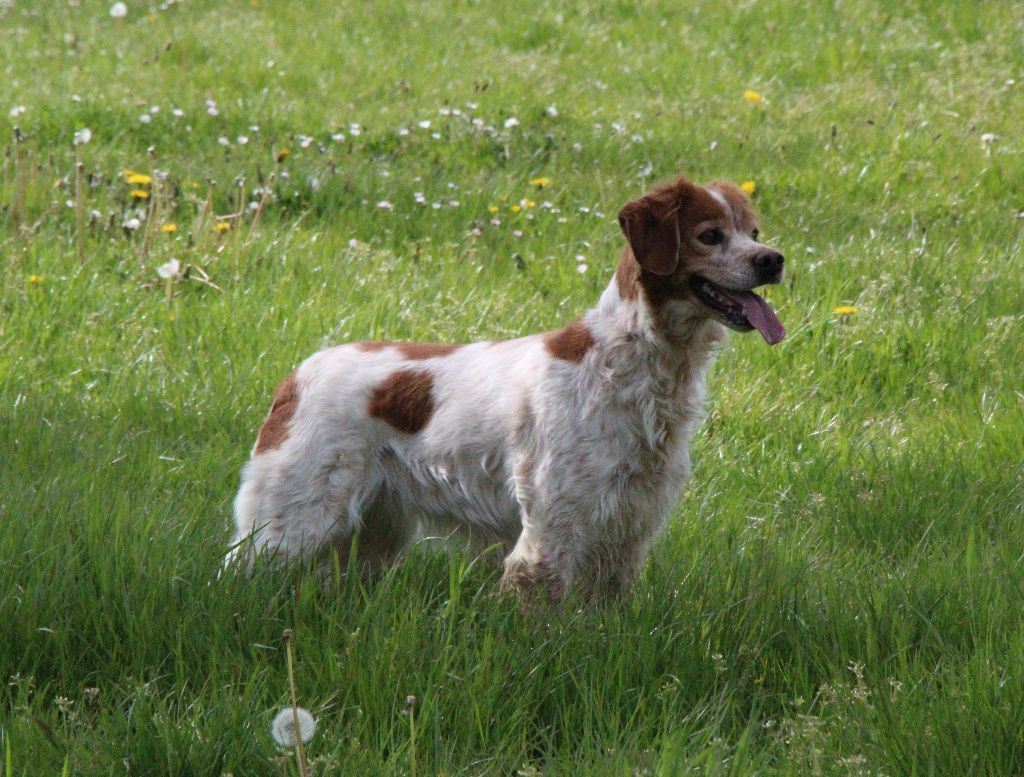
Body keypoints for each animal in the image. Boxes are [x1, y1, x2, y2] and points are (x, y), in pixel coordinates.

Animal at [228, 175, 785, 602]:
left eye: (753, 231)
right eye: (710, 235)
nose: (773, 259)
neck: (635, 360)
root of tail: (298, 373)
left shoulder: (627, 526)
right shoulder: (554, 523)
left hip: (371, 534)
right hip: (293, 519)